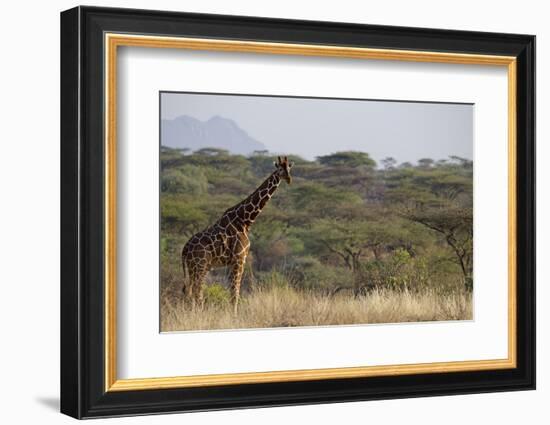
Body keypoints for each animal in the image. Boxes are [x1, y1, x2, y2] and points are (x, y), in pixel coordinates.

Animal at [181, 155, 294, 312]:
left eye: (289, 167)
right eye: (279, 169)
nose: (288, 178)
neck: (245, 220)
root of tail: (184, 249)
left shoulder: (233, 261)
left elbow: (232, 291)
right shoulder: (240, 258)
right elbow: (235, 292)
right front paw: (234, 315)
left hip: (196, 266)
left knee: (191, 290)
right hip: (200, 264)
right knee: (196, 290)